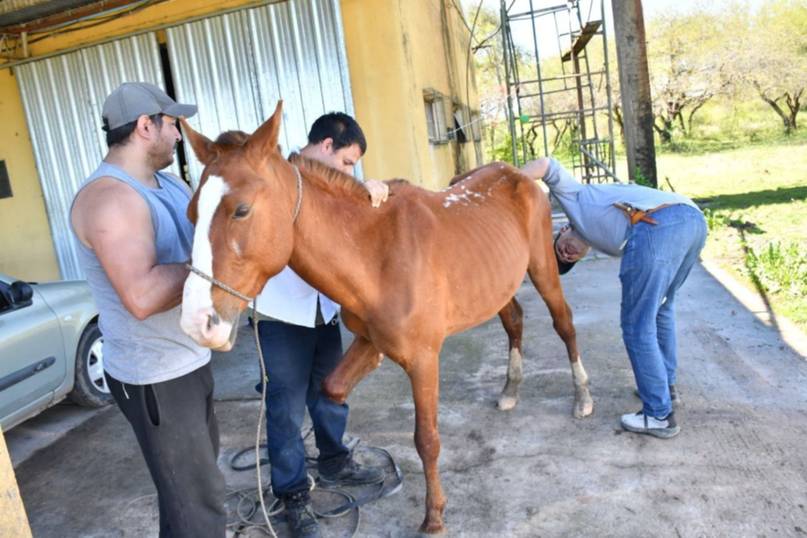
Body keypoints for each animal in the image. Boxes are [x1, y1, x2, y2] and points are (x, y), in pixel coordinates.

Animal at [178, 102, 594, 534]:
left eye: (241, 210)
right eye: (192, 213)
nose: (197, 322)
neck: (377, 255)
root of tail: (517, 174)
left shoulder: (424, 360)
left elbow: (426, 439)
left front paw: (434, 515)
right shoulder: (369, 340)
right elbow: (331, 390)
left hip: (543, 270)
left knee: (564, 324)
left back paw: (582, 397)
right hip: (499, 283)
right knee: (513, 321)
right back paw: (510, 390)